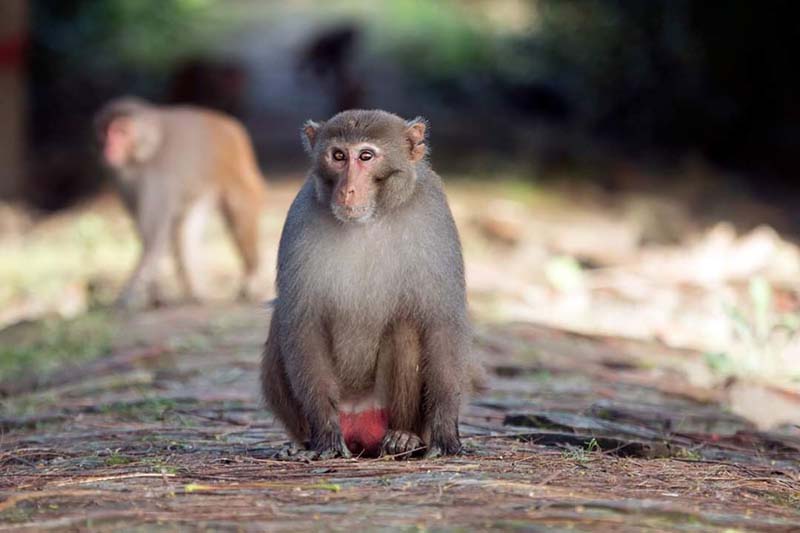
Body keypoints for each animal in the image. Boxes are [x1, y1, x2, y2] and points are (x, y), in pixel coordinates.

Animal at [94, 95, 266, 308]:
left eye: (121, 131)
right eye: (106, 131)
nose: (110, 147)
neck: (147, 149)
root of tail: (229, 125)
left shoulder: (158, 175)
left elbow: (153, 239)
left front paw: (129, 296)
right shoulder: (122, 177)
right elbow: (148, 235)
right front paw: (153, 293)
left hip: (234, 165)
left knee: (239, 209)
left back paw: (252, 276)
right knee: (185, 230)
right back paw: (195, 292)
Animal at [262, 108, 476, 458]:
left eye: (366, 156)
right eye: (338, 156)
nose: (348, 190)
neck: (370, 219)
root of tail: (357, 418)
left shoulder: (434, 215)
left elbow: (441, 321)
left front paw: (445, 432)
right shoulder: (300, 216)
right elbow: (302, 322)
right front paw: (326, 435)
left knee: (406, 327)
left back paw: (403, 436)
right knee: (280, 322)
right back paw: (305, 441)